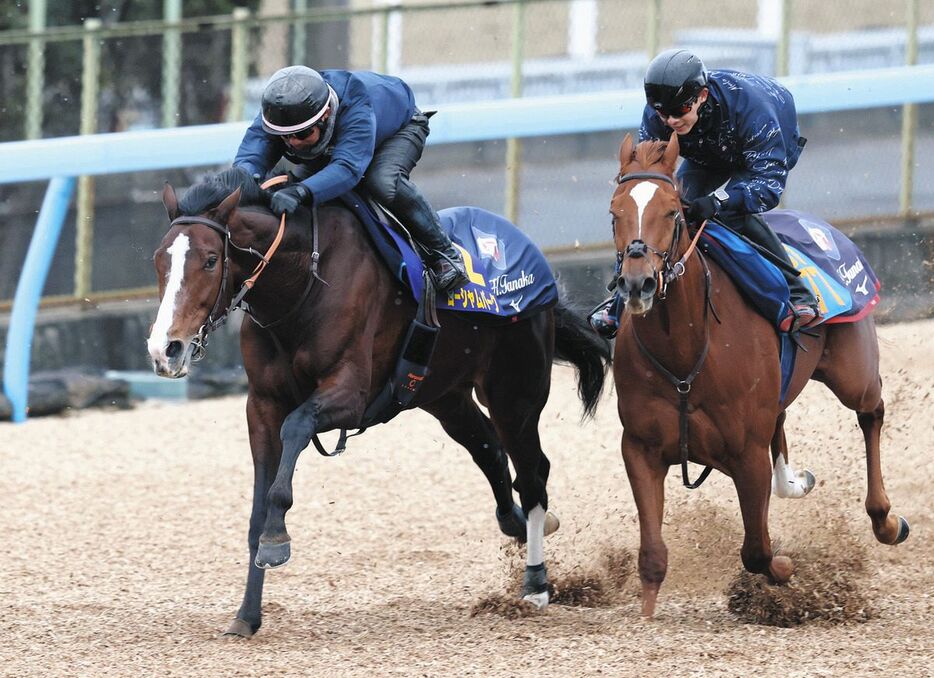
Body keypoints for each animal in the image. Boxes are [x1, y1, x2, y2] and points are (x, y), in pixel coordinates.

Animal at [147, 169, 616, 636]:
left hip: (514, 392)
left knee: (533, 473)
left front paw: (277, 540)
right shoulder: (261, 404)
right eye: (159, 260)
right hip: (444, 395)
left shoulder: (351, 393)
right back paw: (517, 525)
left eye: (211, 260)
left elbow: (296, 427)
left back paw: (535, 584)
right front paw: (247, 614)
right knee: (491, 452)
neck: (301, 284)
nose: (165, 349)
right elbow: (256, 508)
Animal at [612, 135, 912, 620]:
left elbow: (757, 550)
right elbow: (653, 555)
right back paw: (795, 481)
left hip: (854, 373)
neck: (685, 353)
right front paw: (647, 611)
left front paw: (787, 570)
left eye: (673, 211)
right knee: (786, 421)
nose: (637, 284)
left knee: (872, 412)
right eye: (614, 212)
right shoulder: (640, 447)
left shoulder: (746, 453)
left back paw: (884, 519)